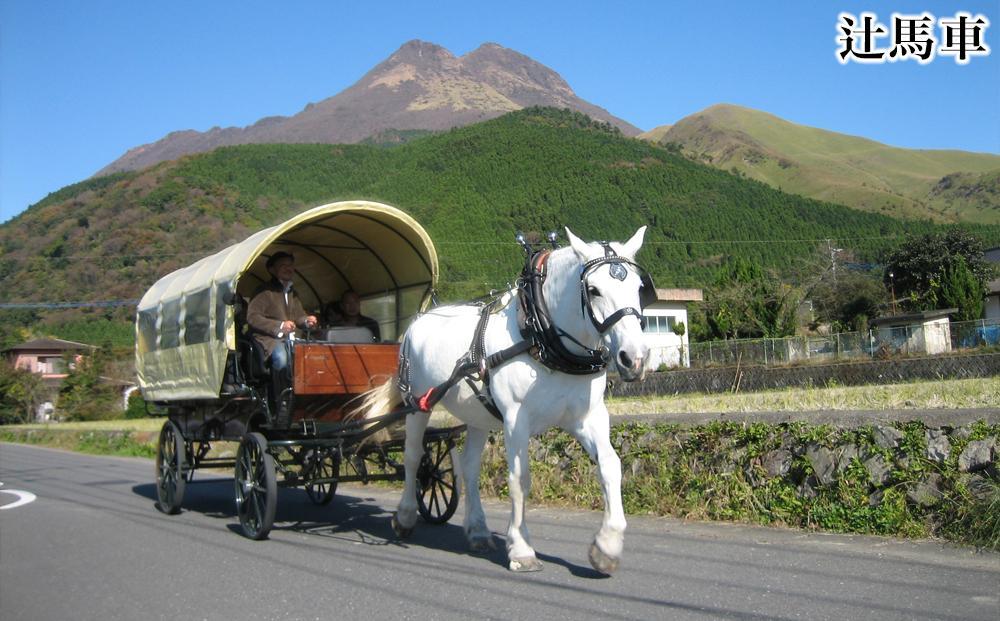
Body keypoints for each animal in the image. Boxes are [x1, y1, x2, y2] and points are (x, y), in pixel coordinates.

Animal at [356, 225, 652, 572]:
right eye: (593, 290)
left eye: (638, 287)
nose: (635, 358)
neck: (540, 335)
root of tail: (418, 320)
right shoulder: (515, 420)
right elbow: (520, 479)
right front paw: (522, 549)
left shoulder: (587, 417)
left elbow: (610, 465)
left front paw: (608, 545)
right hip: (417, 403)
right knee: (414, 456)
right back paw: (404, 517)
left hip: (477, 413)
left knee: (468, 466)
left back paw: (478, 530)